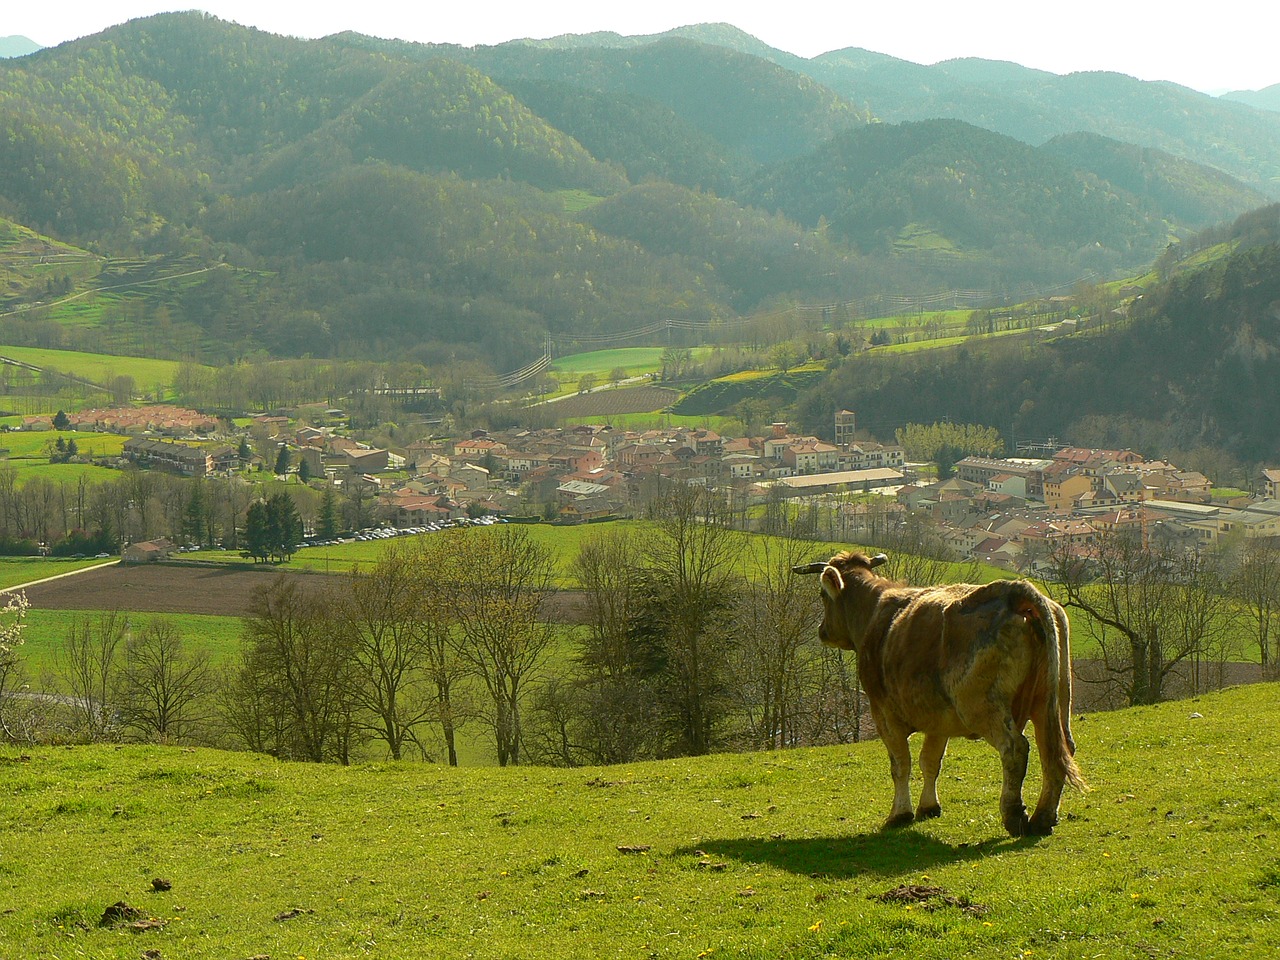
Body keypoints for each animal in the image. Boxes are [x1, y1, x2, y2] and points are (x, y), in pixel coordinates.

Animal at [798, 552, 1080, 839]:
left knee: (1015, 749)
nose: (822, 630)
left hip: (982, 707)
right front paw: (928, 806)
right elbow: (930, 761)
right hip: (1051, 702)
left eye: (822, 595)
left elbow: (901, 764)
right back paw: (1043, 817)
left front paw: (900, 814)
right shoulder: (939, 719)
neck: (875, 611)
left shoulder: (884, 713)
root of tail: (1013, 591)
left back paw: (1014, 815)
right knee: (1057, 750)